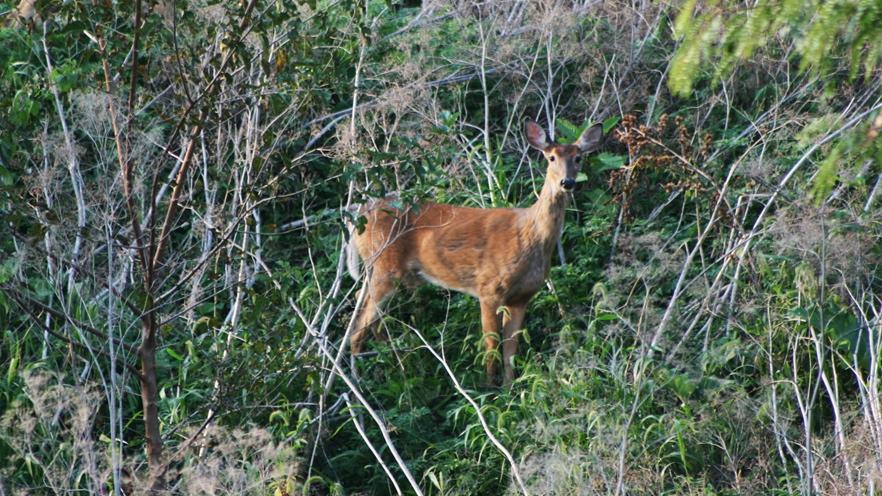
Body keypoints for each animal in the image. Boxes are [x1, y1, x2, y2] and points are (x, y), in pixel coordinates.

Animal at [344, 121, 604, 388]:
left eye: (578, 158)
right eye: (551, 157)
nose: (567, 182)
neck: (529, 236)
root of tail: (358, 216)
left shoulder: (522, 297)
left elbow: (511, 347)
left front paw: (509, 387)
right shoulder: (488, 288)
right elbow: (491, 342)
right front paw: (489, 387)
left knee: (367, 312)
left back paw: (396, 365)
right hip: (385, 265)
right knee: (359, 324)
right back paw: (360, 380)